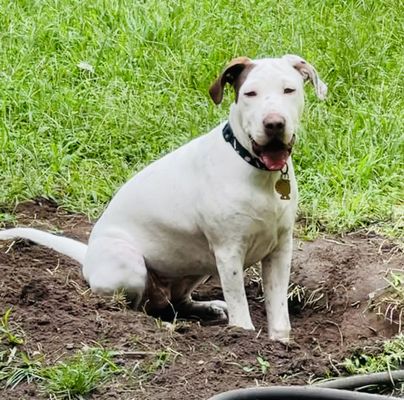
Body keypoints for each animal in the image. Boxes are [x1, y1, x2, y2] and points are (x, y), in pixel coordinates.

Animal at [0, 54, 326, 342]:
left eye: (289, 90)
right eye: (250, 93)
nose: (274, 123)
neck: (256, 171)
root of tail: (88, 254)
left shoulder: (280, 249)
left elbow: (279, 310)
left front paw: (280, 344)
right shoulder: (228, 251)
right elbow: (240, 305)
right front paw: (243, 337)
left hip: (196, 264)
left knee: (176, 301)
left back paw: (205, 308)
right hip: (131, 266)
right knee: (132, 307)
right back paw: (160, 325)